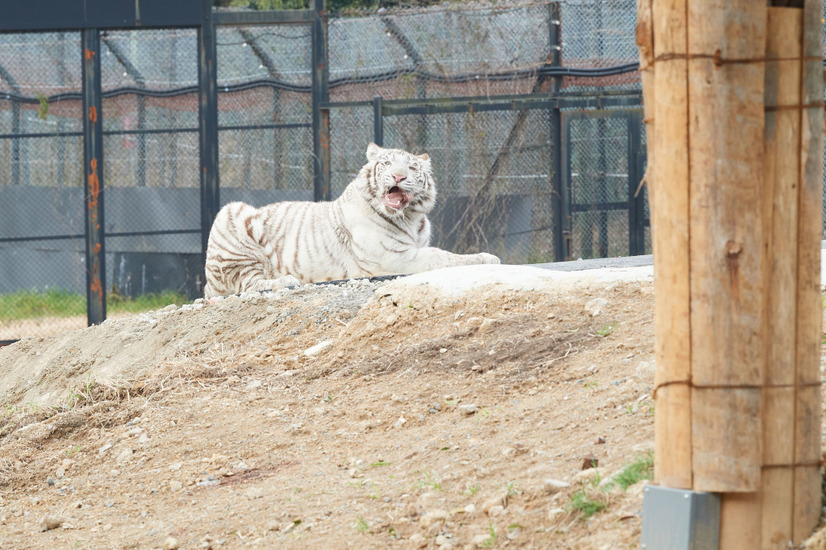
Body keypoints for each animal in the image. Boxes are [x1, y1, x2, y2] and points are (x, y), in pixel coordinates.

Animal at [203, 142, 498, 298]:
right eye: (387, 164)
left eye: (412, 167)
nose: (399, 176)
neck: (411, 218)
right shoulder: (394, 257)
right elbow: (443, 257)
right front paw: (487, 257)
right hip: (231, 216)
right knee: (247, 284)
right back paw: (286, 281)